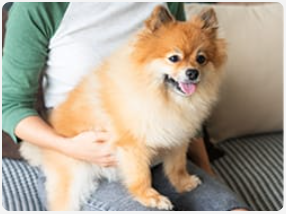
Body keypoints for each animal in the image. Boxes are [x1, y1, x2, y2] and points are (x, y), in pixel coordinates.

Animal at [20, 5, 227, 211]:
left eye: (201, 59)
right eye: (174, 58)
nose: (193, 73)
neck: (167, 100)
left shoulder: (177, 138)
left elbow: (177, 165)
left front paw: (183, 183)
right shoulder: (133, 145)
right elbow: (142, 175)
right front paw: (150, 197)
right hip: (73, 178)